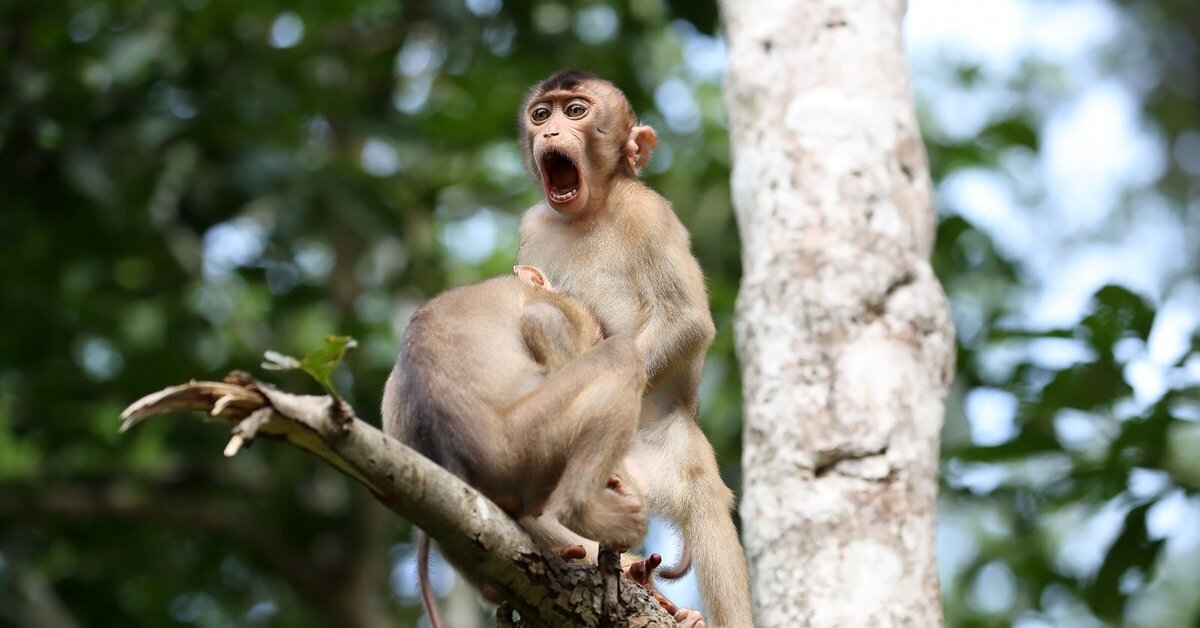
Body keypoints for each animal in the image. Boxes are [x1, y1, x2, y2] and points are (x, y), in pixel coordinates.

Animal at [513, 69, 753, 628]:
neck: (590, 211)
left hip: (665, 451)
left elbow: (686, 319)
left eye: (575, 111)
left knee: (704, 496)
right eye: (541, 114)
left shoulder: (649, 213)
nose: (549, 132)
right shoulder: (533, 226)